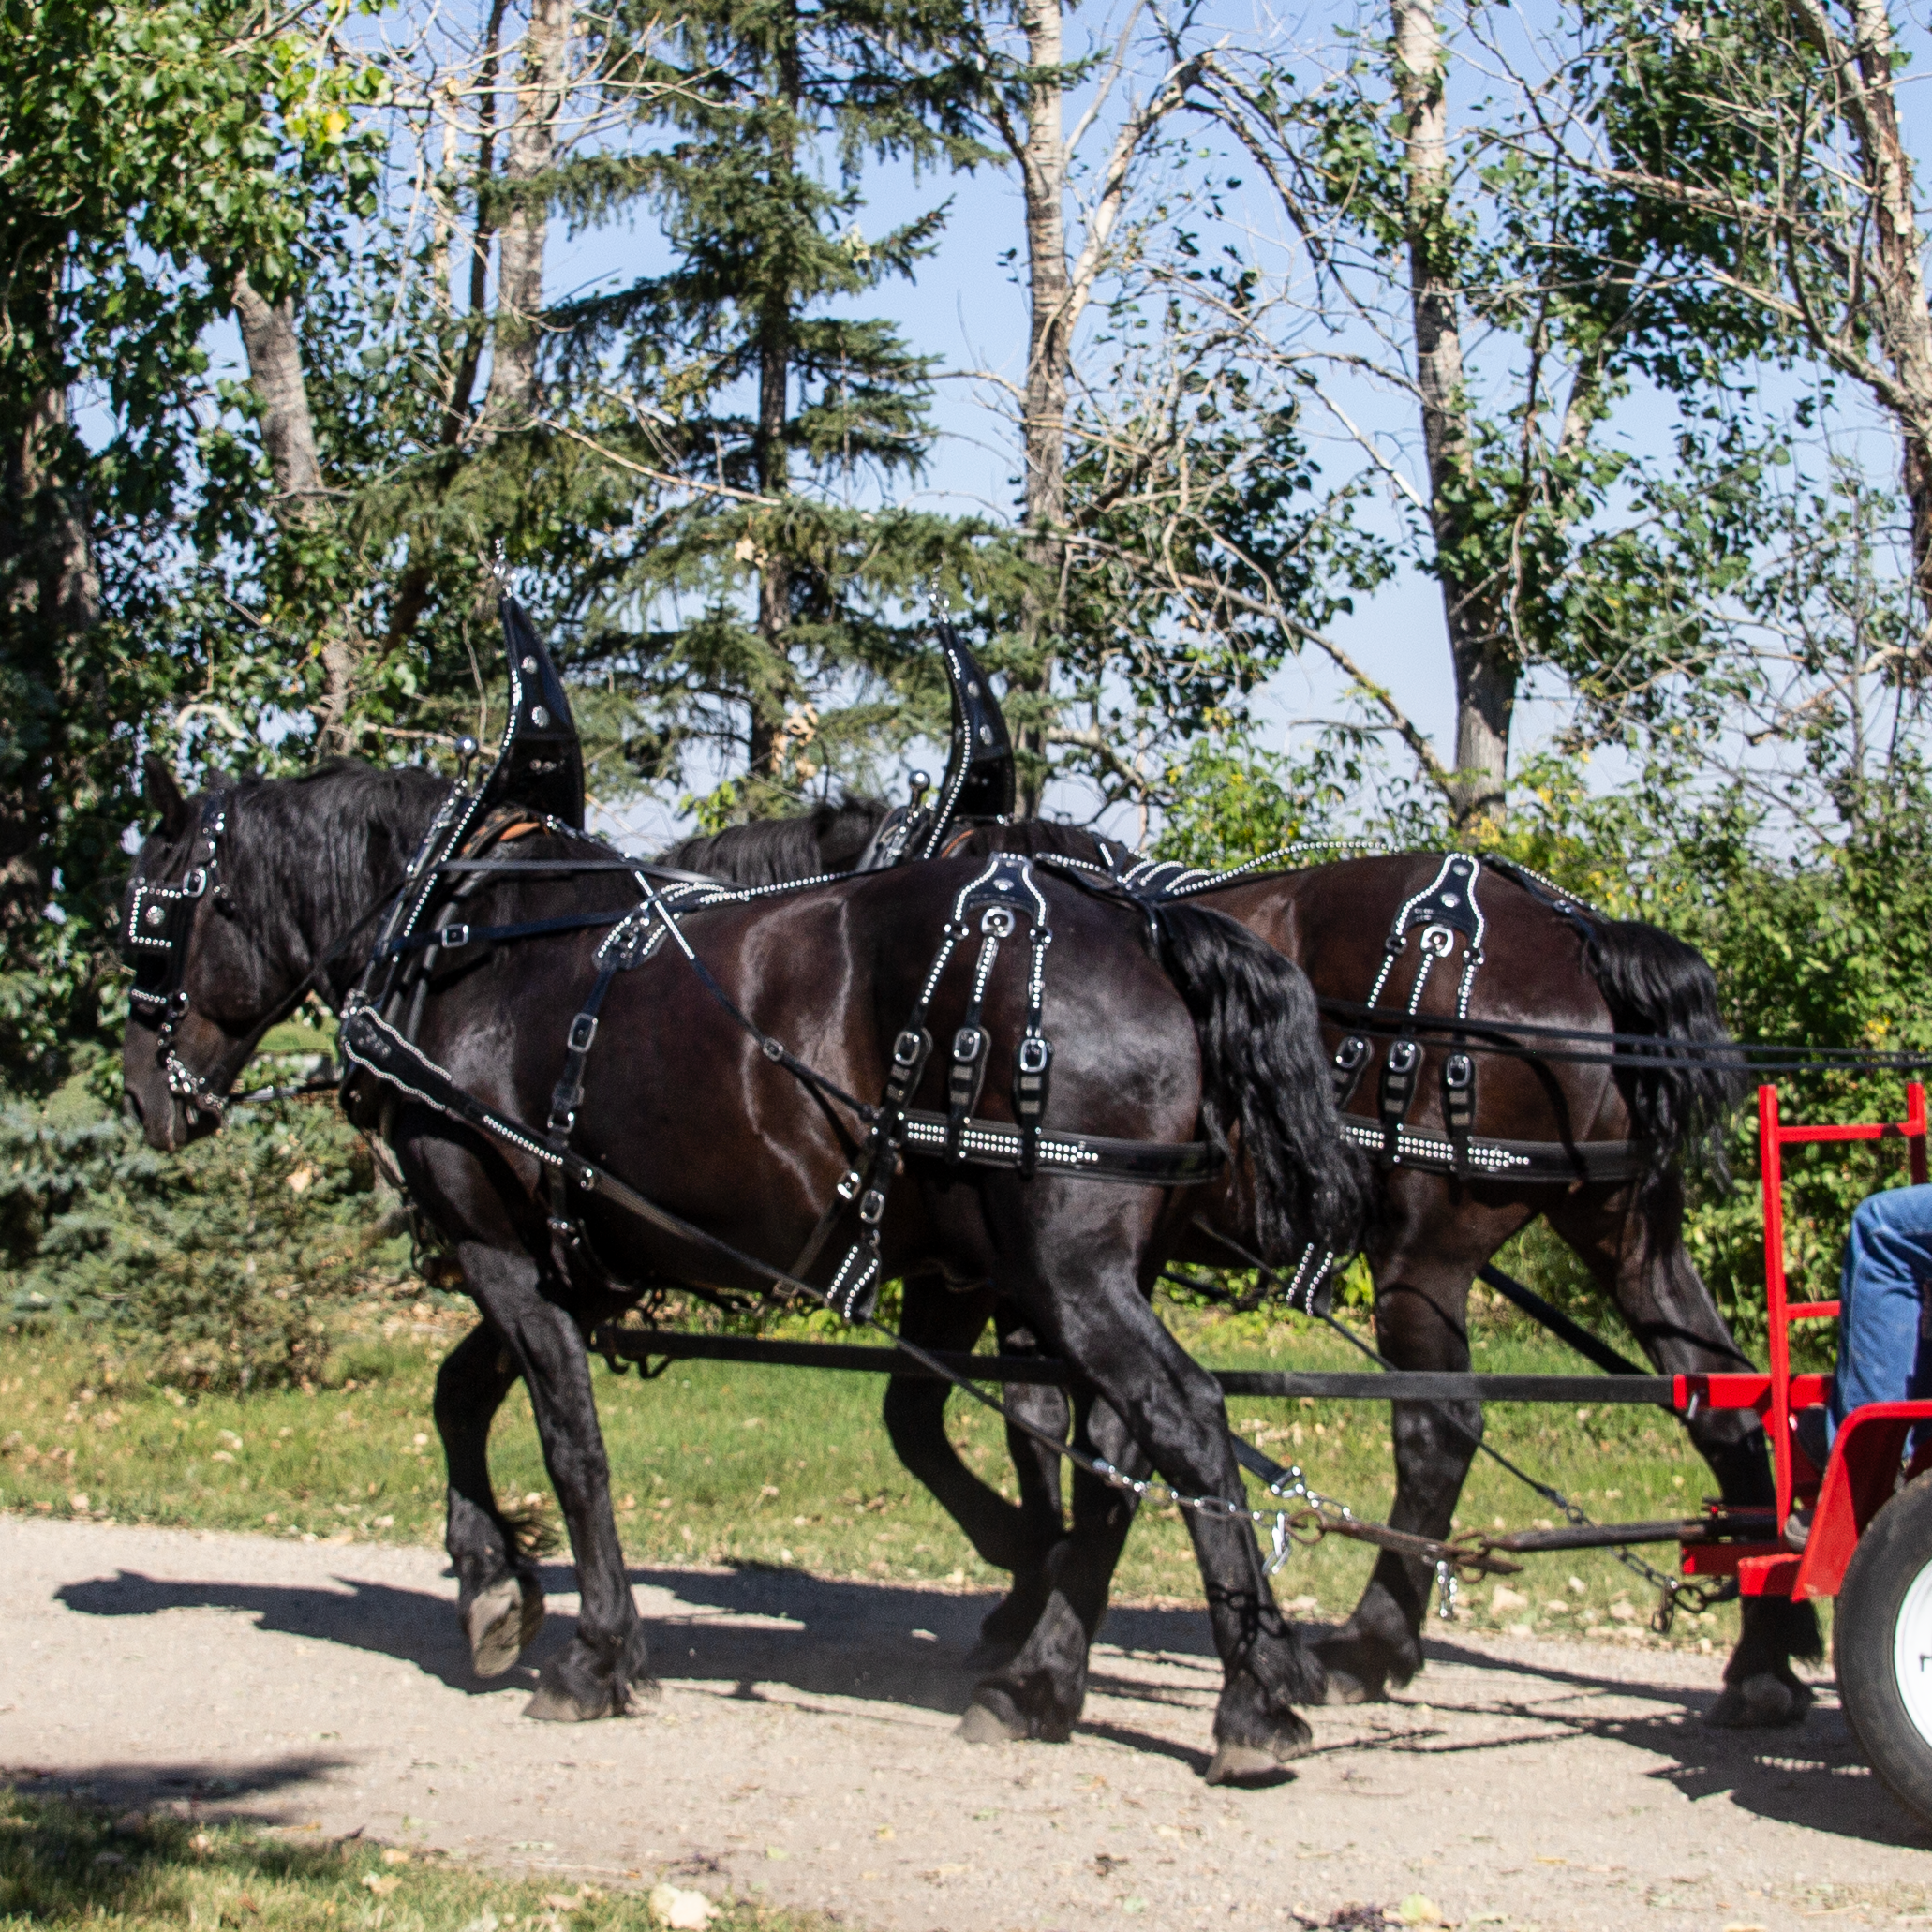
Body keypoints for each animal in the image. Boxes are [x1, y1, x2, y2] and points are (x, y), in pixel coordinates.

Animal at [120, 757, 1367, 1777]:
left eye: (151, 921)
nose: (142, 1097)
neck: (457, 941)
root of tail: (1145, 925)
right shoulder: (566, 1260)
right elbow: (459, 1394)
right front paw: (491, 1584)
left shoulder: (495, 1242)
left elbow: (570, 1446)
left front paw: (597, 1651)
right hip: (1071, 1276)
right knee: (1121, 1445)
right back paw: (1044, 1682)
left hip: (1067, 1269)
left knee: (1184, 1418)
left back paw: (1251, 1697)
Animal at [668, 799, 1808, 1738]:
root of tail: (1578, 938)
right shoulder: (1024, 1272)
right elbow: (1034, 1423)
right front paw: (1038, 1585)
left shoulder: (988, 1269)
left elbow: (945, 1420)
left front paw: (1024, 1572)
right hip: (1624, 1230)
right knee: (1724, 1401)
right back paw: (1762, 1658)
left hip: (1423, 1254)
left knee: (1439, 1429)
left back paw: (1371, 1643)